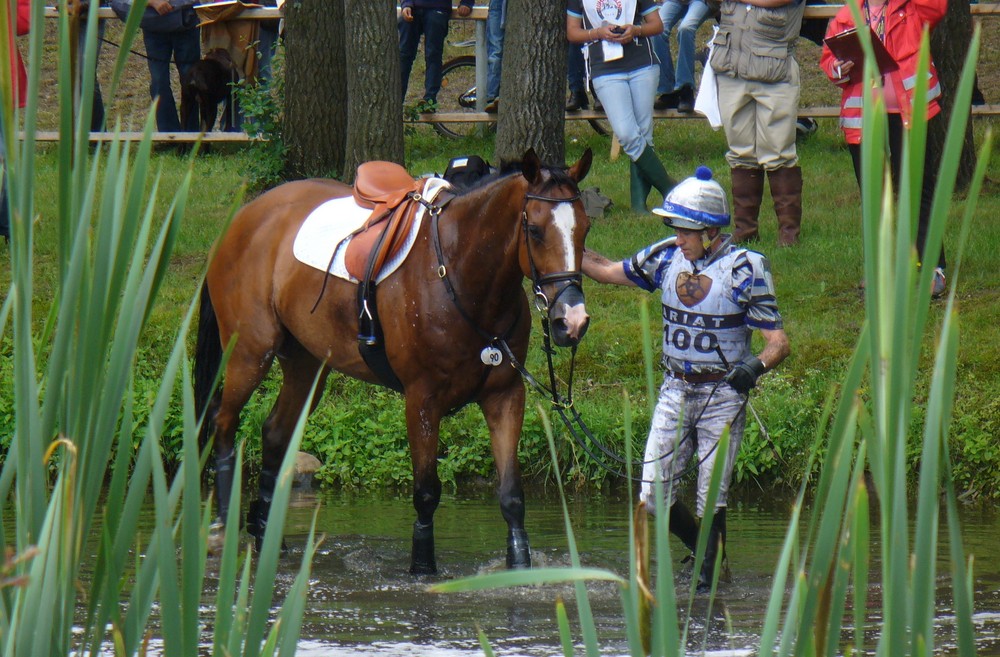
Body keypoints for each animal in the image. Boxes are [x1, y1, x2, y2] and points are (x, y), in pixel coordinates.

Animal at [193, 150, 592, 576]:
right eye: (534, 229)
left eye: (585, 229)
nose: (572, 320)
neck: (461, 274)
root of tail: (245, 217)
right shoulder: (422, 401)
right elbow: (426, 493)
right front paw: (422, 567)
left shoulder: (505, 396)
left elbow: (512, 496)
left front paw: (519, 565)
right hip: (249, 353)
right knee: (223, 422)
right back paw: (224, 527)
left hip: (307, 364)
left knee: (274, 433)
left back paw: (268, 536)